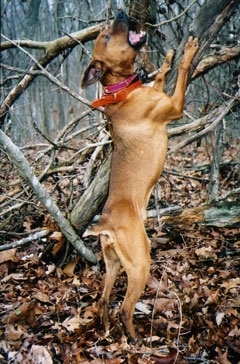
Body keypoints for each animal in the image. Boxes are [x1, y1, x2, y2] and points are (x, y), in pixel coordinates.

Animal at [82, 9, 199, 338]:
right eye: (107, 36)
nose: (122, 12)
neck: (122, 92)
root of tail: (105, 226)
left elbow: (160, 77)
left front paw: (164, 62)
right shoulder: (175, 106)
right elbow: (183, 71)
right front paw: (188, 51)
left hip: (113, 263)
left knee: (103, 299)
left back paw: (106, 328)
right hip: (139, 264)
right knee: (124, 308)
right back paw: (136, 340)